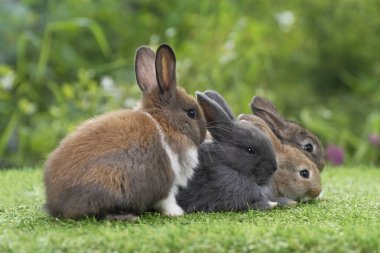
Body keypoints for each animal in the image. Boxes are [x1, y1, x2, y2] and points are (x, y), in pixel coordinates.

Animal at [43, 44, 208, 219]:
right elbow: (167, 201)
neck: (165, 123)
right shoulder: (167, 184)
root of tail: (55, 204)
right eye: (192, 113)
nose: (204, 134)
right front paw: (177, 213)